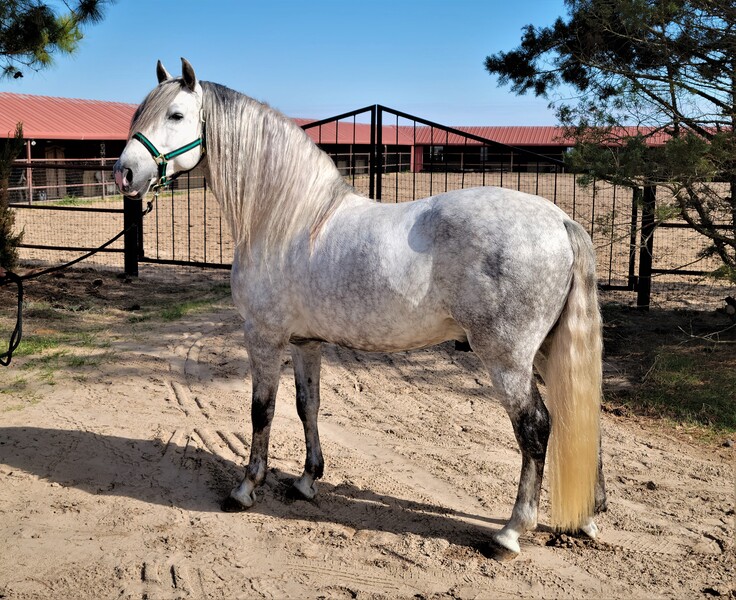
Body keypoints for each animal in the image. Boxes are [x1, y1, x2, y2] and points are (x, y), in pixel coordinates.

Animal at [114, 58, 607, 559]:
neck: (287, 220)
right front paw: (307, 481)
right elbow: (306, 406)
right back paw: (586, 519)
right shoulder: (305, 342)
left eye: (176, 115)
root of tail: (560, 221)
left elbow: (262, 410)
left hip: (507, 360)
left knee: (536, 428)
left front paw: (246, 488)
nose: (125, 174)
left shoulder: (264, 337)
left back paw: (510, 532)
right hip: (544, 352)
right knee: (579, 417)